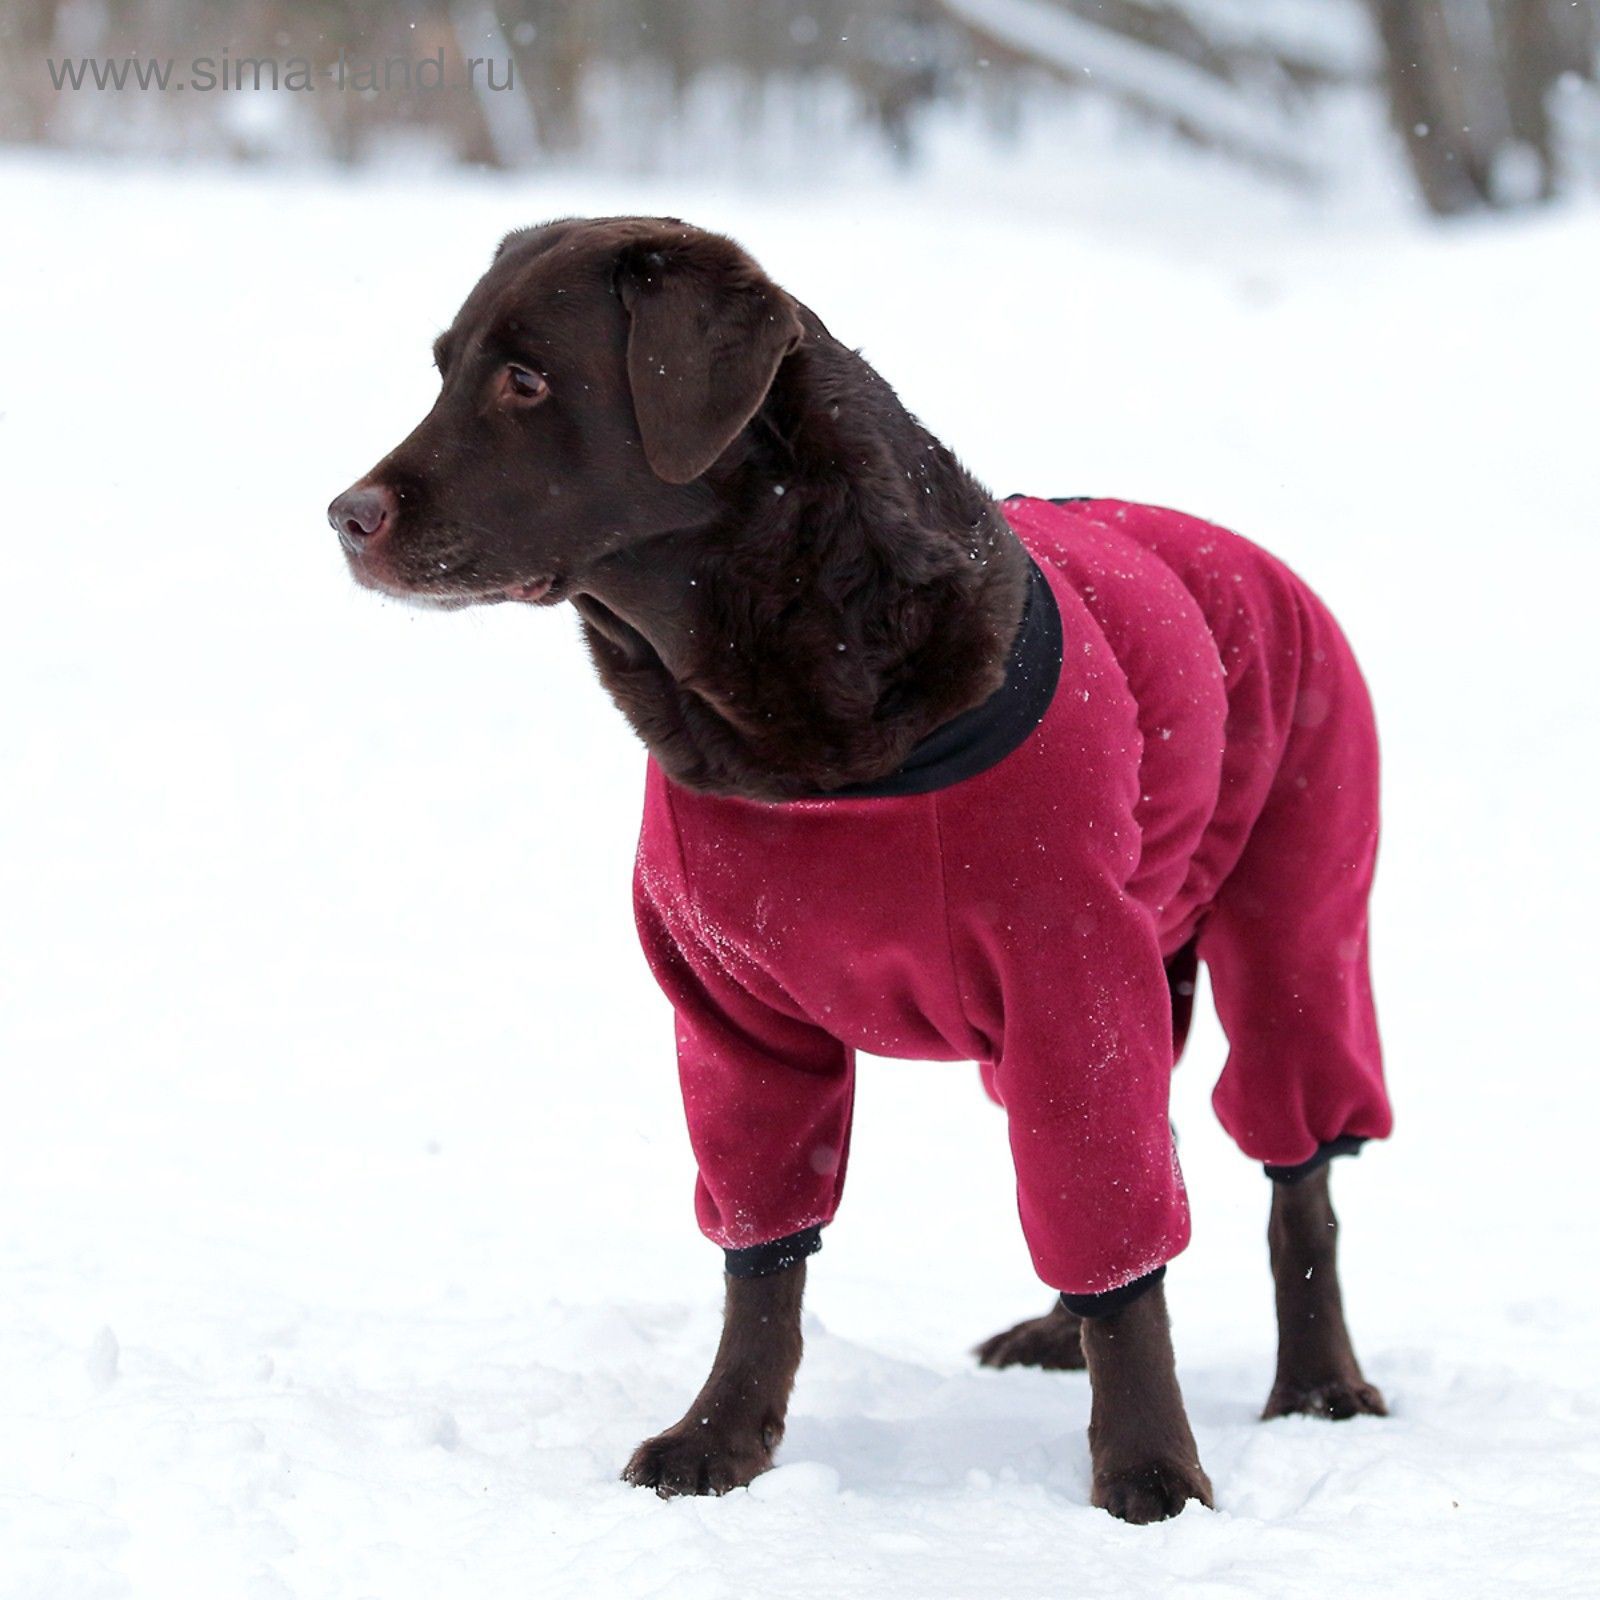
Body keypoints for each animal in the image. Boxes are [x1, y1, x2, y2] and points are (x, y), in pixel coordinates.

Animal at [331, 216, 1395, 1523]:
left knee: (1292, 1181)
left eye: (527, 381)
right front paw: (721, 1438)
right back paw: (1055, 1337)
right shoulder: (728, 1016)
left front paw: (1149, 1469)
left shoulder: (1070, 984)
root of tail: (1243, 545)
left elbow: (1125, 1245)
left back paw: (1320, 1383)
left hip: (1293, 922)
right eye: (442, 369)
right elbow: (763, 1259)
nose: (343, 514)